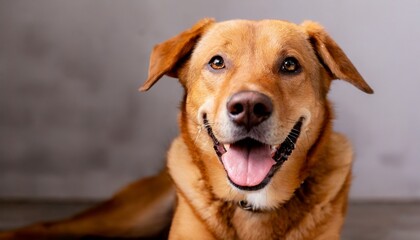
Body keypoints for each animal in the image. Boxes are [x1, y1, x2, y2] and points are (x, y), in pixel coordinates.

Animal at [0, 19, 374, 240]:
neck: (250, 202)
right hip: (128, 217)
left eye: (290, 65)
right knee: (49, 226)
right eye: (217, 62)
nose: (248, 108)